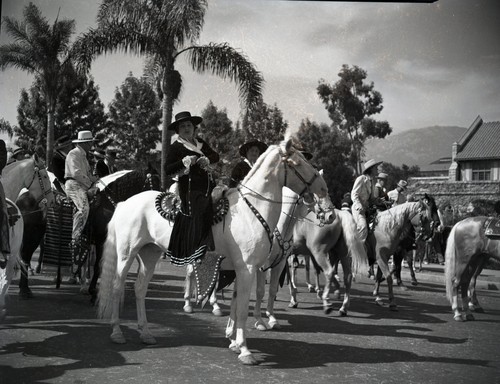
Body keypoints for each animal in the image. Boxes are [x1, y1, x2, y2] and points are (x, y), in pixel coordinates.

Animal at [96, 140, 334, 364]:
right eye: (298, 163)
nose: (324, 192)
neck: (251, 211)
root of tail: (124, 203)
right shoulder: (248, 269)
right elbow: (242, 308)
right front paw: (245, 351)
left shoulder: (243, 269)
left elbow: (238, 304)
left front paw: (235, 343)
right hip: (126, 254)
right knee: (117, 287)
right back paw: (117, 332)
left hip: (149, 254)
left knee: (139, 289)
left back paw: (145, 333)